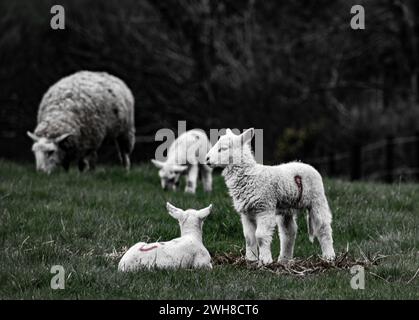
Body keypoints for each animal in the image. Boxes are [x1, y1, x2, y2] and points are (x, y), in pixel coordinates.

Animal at [205, 127, 336, 264]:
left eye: (223, 148)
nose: (207, 159)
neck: (251, 176)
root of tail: (304, 164)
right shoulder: (246, 212)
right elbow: (249, 237)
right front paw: (251, 260)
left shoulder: (264, 208)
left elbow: (260, 235)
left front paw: (265, 260)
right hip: (286, 208)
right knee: (288, 232)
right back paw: (284, 260)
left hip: (317, 199)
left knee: (323, 227)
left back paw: (329, 257)